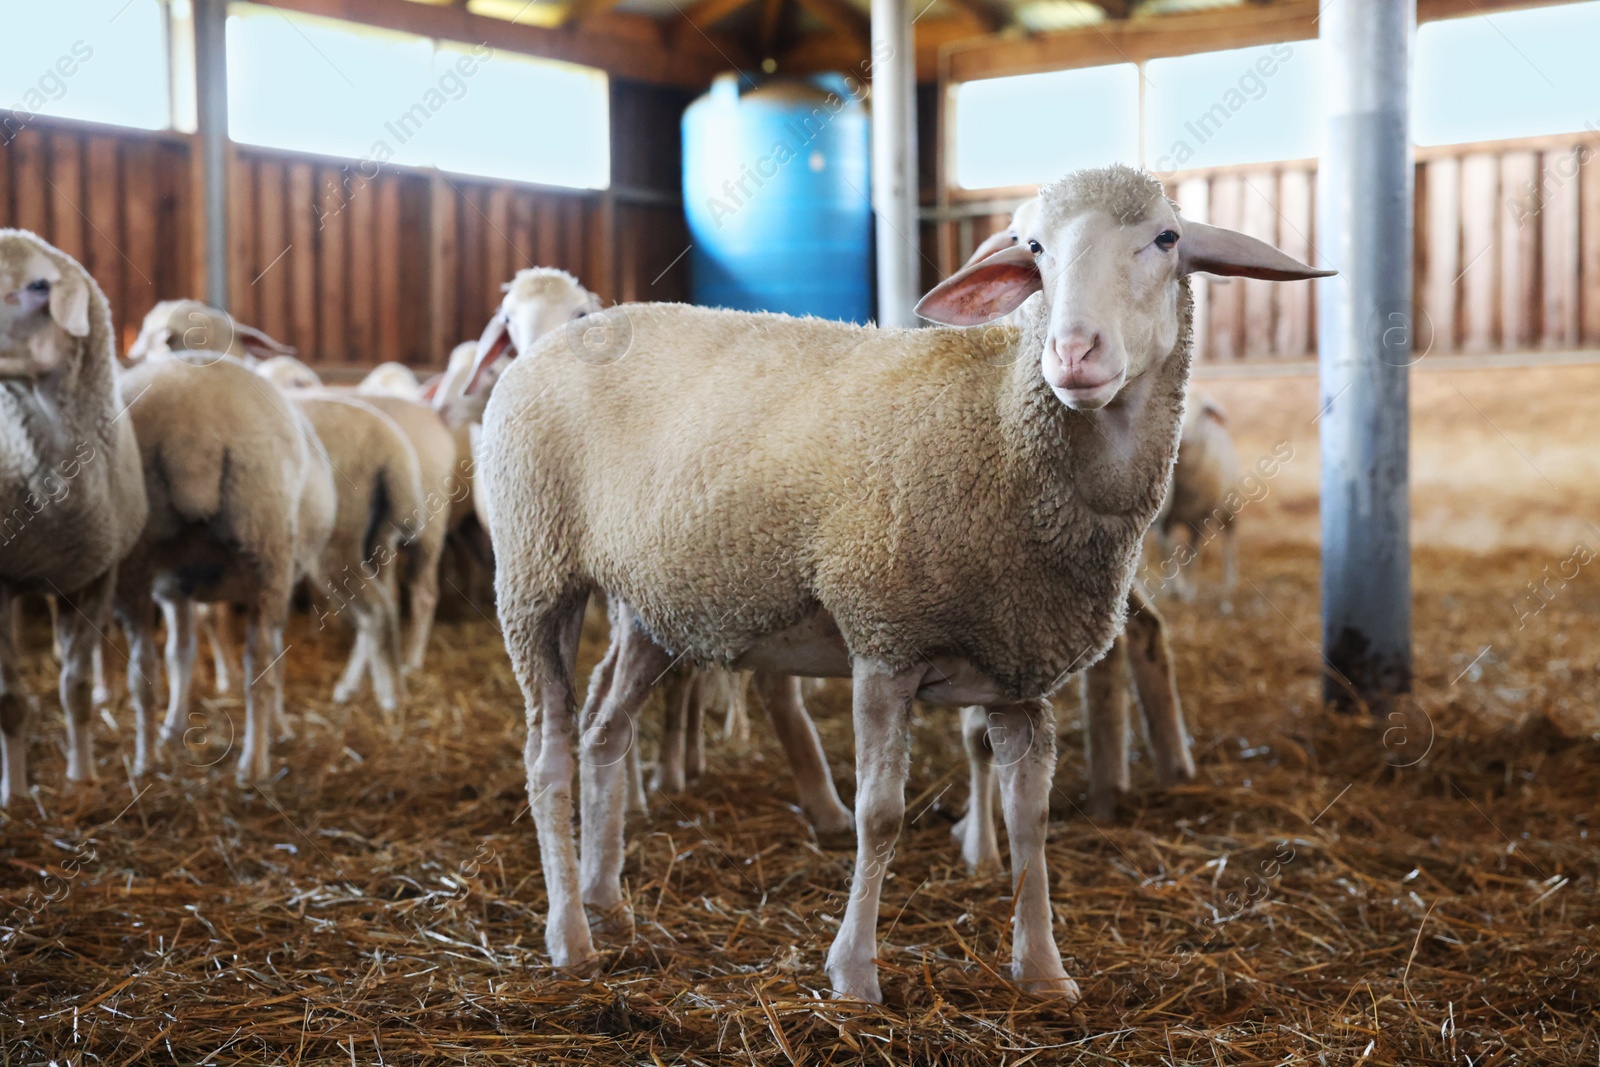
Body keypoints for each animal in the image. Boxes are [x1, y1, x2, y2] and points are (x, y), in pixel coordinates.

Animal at [0, 230, 149, 806]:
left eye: (40, 285)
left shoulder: (93, 575)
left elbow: (78, 688)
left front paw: (81, 775)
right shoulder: (2, 582)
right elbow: (11, 701)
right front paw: (16, 794)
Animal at [480, 164, 1331, 1004]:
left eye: (1166, 239)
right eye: (1035, 248)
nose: (1073, 352)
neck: (1001, 424)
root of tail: (563, 334)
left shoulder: (1021, 664)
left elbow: (1030, 816)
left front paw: (1044, 969)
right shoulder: (884, 636)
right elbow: (880, 814)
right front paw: (853, 973)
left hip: (651, 605)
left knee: (604, 731)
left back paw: (608, 902)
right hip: (536, 570)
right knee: (548, 752)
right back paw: (570, 937)